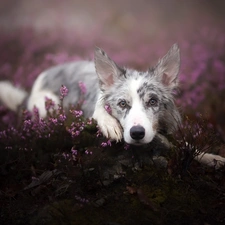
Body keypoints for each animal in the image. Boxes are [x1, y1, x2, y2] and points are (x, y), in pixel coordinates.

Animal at [0, 43, 225, 167]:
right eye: (122, 103)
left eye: (153, 101)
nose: (137, 133)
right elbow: (98, 109)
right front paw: (110, 124)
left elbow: (188, 147)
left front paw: (212, 157)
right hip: (49, 105)